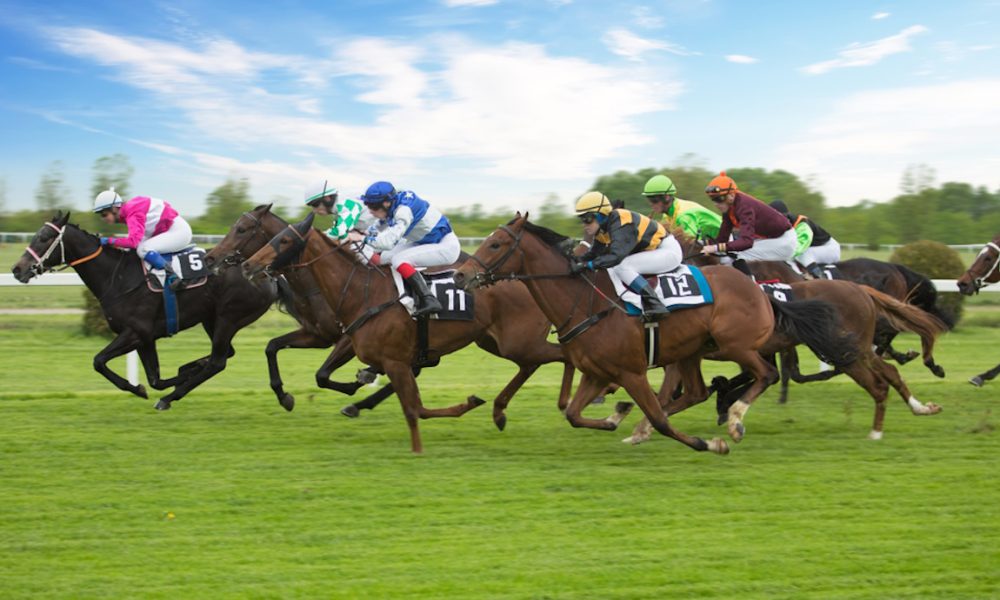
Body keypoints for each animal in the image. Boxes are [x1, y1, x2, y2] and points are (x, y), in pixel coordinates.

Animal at [9, 211, 276, 408]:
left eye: (44, 237)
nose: (17, 269)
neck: (118, 277)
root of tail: (264, 273)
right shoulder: (144, 338)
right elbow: (155, 379)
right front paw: (170, 377)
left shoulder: (136, 331)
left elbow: (99, 361)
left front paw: (138, 388)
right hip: (211, 319)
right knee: (224, 354)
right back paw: (190, 370)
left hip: (228, 317)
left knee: (218, 361)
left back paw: (170, 397)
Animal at [240, 213, 584, 452]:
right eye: (273, 237)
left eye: (284, 241)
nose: (247, 265)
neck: (361, 291)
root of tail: (522, 277)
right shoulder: (369, 348)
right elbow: (325, 375)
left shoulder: (393, 359)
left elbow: (412, 406)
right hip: (497, 342)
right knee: (533, 363)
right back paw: (501, 411)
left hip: (519, 342)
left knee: (564, 354)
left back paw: (566, 400)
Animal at [454, 213, 860, 452]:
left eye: (495, 243)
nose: (459, 275)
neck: (586, 301)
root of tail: (760, 289)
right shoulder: (597, 372)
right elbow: (573, 413)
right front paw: (617, 416)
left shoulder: (631, 371)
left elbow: (662, 419)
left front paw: (706, 443)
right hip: (693, 351)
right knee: (697, 391)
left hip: (736, 345)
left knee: (767, 374)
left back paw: (734, 421)